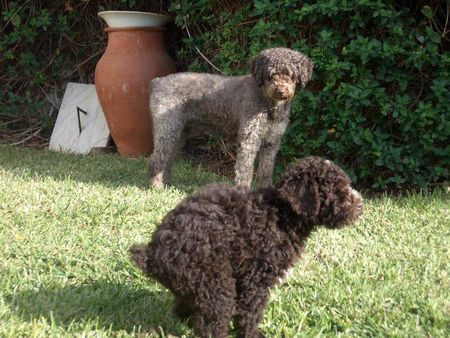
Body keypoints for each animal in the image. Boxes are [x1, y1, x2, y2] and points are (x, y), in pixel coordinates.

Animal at [129, 158, 362, 338]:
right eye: (337, 191)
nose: (361, 205)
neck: (281, 213)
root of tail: (152, 255)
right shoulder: (256, 278)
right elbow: (250, 312)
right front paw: (253, 334)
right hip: (215, 283)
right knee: (211, 325)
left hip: (194, 282)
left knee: (184, 309)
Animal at [148, 47, 312, 189]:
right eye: (271, 74)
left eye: (291, 75)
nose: (281, 91)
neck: (268, 101)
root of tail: (157, 82)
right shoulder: (249, 140)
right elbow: (244, 171)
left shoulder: (271, 143)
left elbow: (266, 171)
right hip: (167, 129)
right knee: (156, 160)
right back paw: (157, 187)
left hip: (180, 133)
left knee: (167, 159)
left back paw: (167, 184)